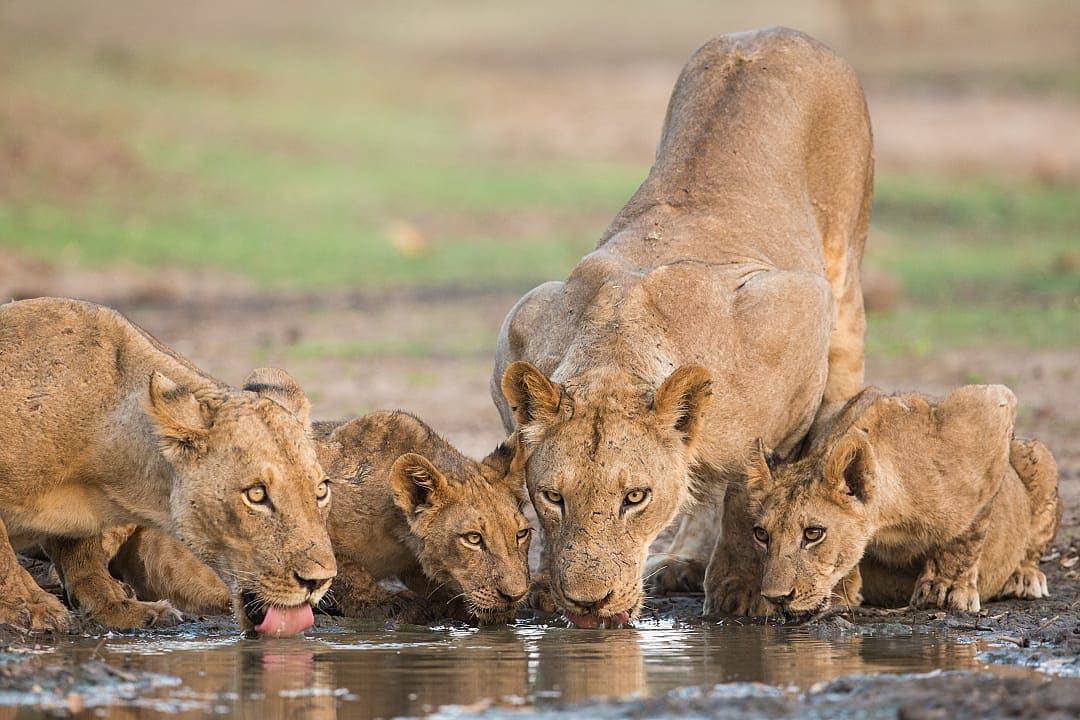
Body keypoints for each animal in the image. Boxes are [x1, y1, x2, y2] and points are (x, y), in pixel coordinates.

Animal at [0, 297, 335, 635]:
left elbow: (83, 554)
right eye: (256, 494)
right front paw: (28, 607)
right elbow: (4, 557)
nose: (318, 581)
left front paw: (118, 606)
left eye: (320, 490)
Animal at [105, 410, 533, 625]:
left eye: (522, 535)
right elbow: (346, 573)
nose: (515, 594)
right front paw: (393, 605)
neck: (396, 531)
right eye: (473, 538)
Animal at [491, 27, 873, 626]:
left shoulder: (797, 307)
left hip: (844, 273)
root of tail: (771, 32)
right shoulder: (523, 323)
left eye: (635, 498)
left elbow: (746, 489)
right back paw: (683, 561)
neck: (617, 350)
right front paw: (546, 585)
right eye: (554, 497)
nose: (588, 605)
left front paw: (741, 588)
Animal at [742, 385, 1061, 617]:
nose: (776, 598)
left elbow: (968, 530)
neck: (888, 521)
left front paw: (945, 587)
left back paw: (1025, 577)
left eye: (813, 534)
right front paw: (846, 592)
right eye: (761, 534)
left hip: (1036, 454)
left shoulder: (990, 408)